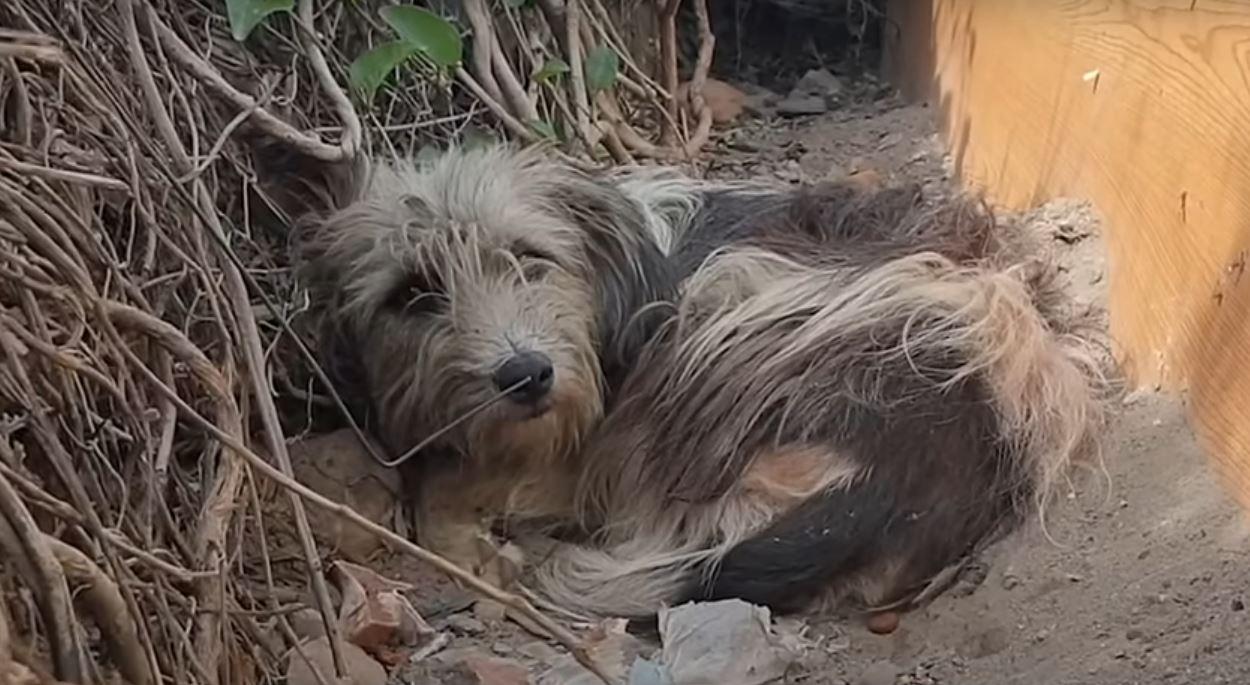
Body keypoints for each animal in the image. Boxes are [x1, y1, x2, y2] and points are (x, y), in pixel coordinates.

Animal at [251, 143, 1105, 620]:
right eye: (412, 293)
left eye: (530, 257)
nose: (524, 375)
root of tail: (903, 479)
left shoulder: (583, 431)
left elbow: (447, 489)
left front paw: (468, 529)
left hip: (727, 306)